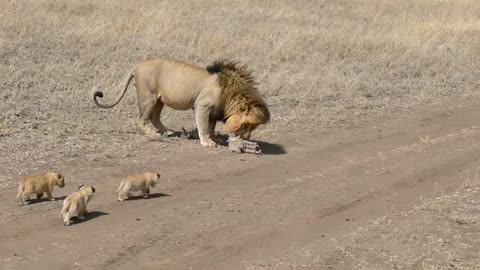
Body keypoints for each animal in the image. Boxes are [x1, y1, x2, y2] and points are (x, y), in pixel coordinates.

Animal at [93, 59, 270, 148]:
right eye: (247, 125)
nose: (246, 138)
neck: (230, 92)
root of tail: (137, 66)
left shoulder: (213, 111)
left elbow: (211, 126)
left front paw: (214, 138)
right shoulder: (202, 105)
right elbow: (203, 126)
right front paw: (207, 142)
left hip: (159, 100)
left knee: (155, 118)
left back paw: (168, 131)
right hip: (149, 97)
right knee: (142, 119)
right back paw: (153, 134)